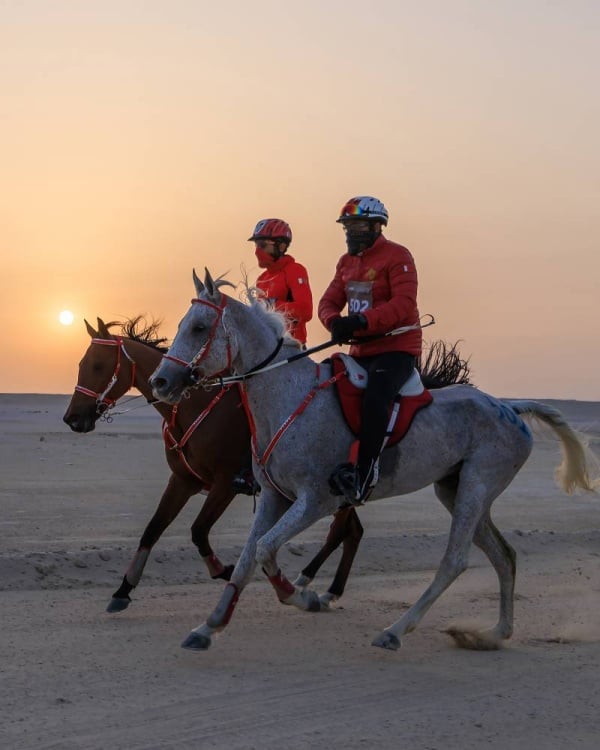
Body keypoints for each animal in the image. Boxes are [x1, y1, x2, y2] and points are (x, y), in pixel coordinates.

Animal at [63, 320, 364, 612]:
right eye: (80, 364)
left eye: (98, 365)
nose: (72, 418)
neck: (193, 408)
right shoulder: (182, 480)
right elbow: (153, 529)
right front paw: (123, 589)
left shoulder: (224, 485)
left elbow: (198, 530)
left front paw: (222, 570)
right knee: (353, 532)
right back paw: (329, 589)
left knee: (340, 532)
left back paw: (308, 581)